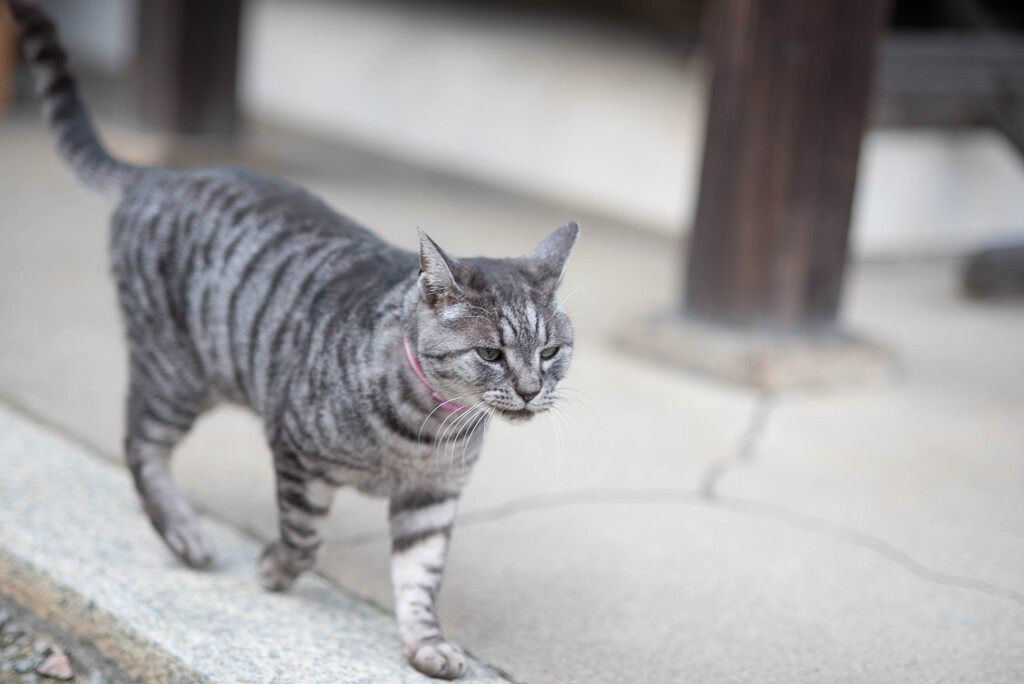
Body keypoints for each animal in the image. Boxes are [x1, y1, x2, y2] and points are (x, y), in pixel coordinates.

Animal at [9, 1, 577, 679]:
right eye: (491, 353)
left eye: (550, 352)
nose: (531, 389)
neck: (422, 433)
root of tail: (165, 175)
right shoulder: (296, 451)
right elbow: (305, 539)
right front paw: (275, 571)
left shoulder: (432, 499)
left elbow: (420, 579)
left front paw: (426, 643)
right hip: (175, 376)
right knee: (138, 444)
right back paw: (183, 534)